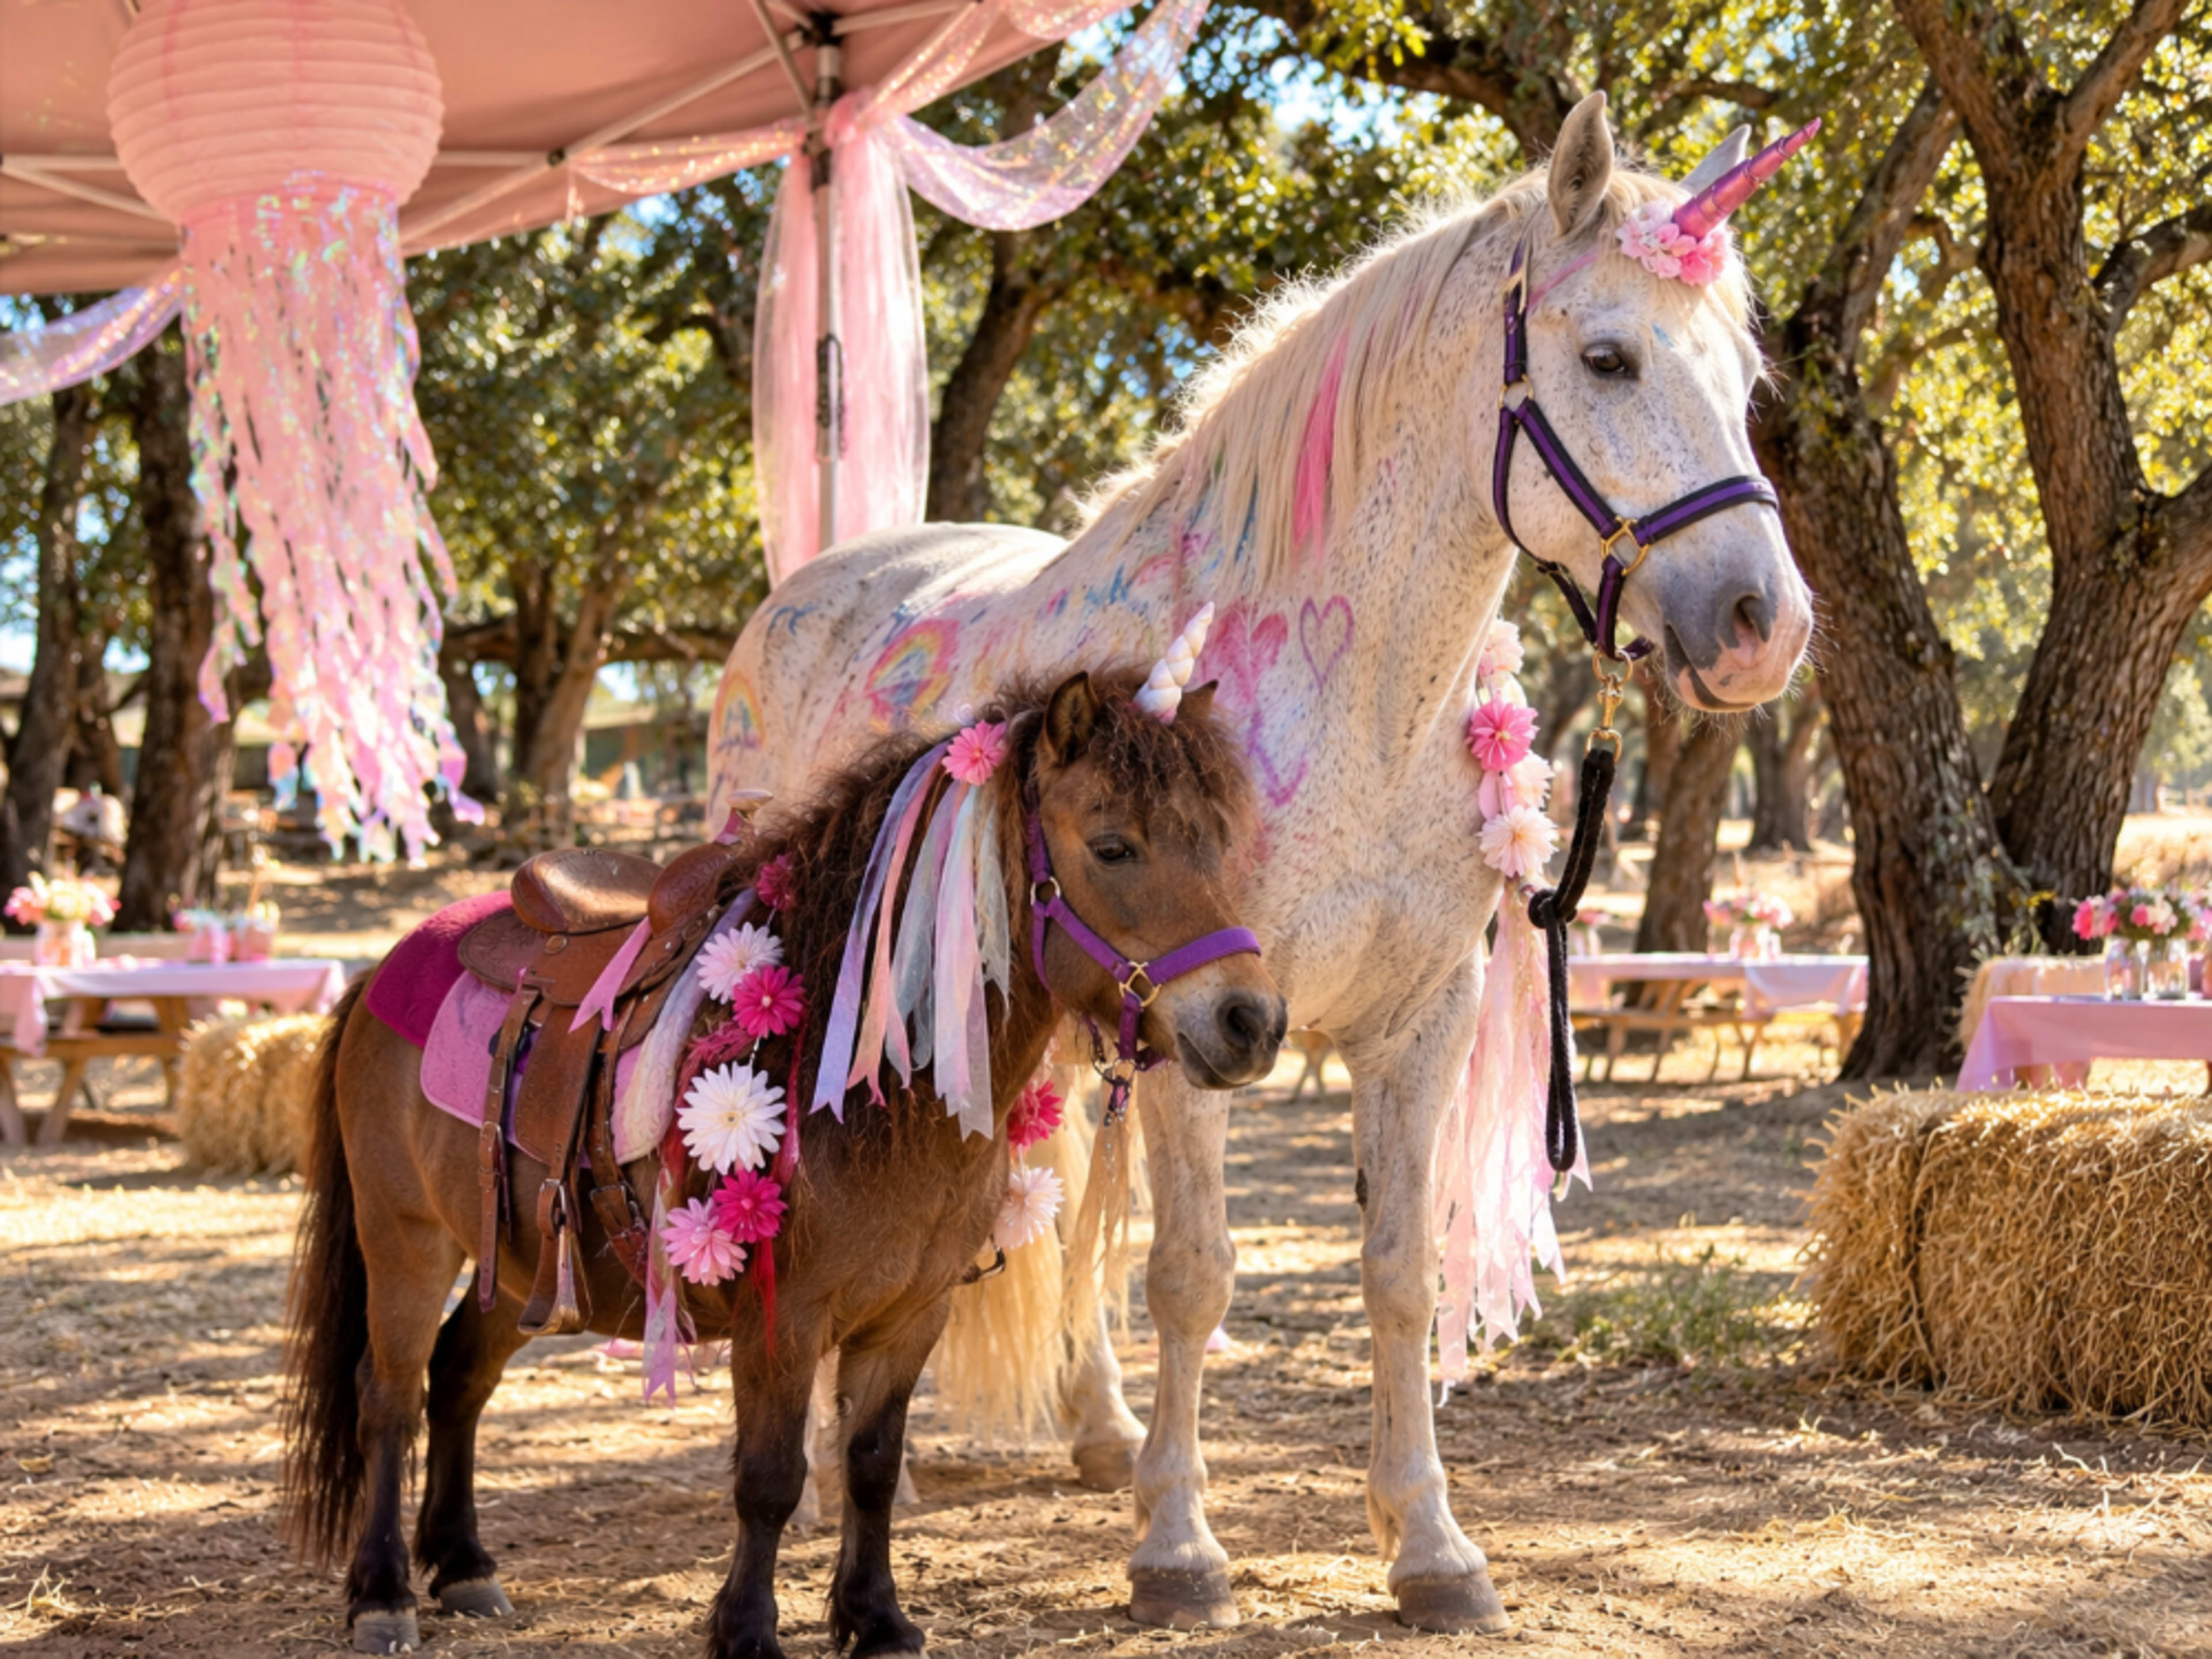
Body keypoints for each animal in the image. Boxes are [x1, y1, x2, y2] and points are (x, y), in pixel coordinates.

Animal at [280, 664, 1286, 1657]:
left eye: (1217, 842)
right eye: (1113, 847)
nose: (1254, 1020)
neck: (873, 1089)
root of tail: (389, 965)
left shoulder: (909, 1316)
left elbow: (871, 1466)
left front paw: (877, 1621)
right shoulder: (783, 1322)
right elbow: (767, 1480)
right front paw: (747, 1631)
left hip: (521, 1264)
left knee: (459, 1378)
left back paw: (464, 1567)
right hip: (405, 1242)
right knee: (388, 1395)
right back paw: (382, 1595)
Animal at [706, 93, 1815, 1633]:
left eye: (1746, 374)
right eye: (1607, 356)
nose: (1765, 623)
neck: (1351, 701)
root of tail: (805, 590)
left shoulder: (1416, 1024)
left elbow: (1398, 1273)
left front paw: (1429, 1546)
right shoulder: (1197, 1026)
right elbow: (1192, 1274)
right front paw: (1178, 1546)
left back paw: (1097, 1431)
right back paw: (839, 1473)